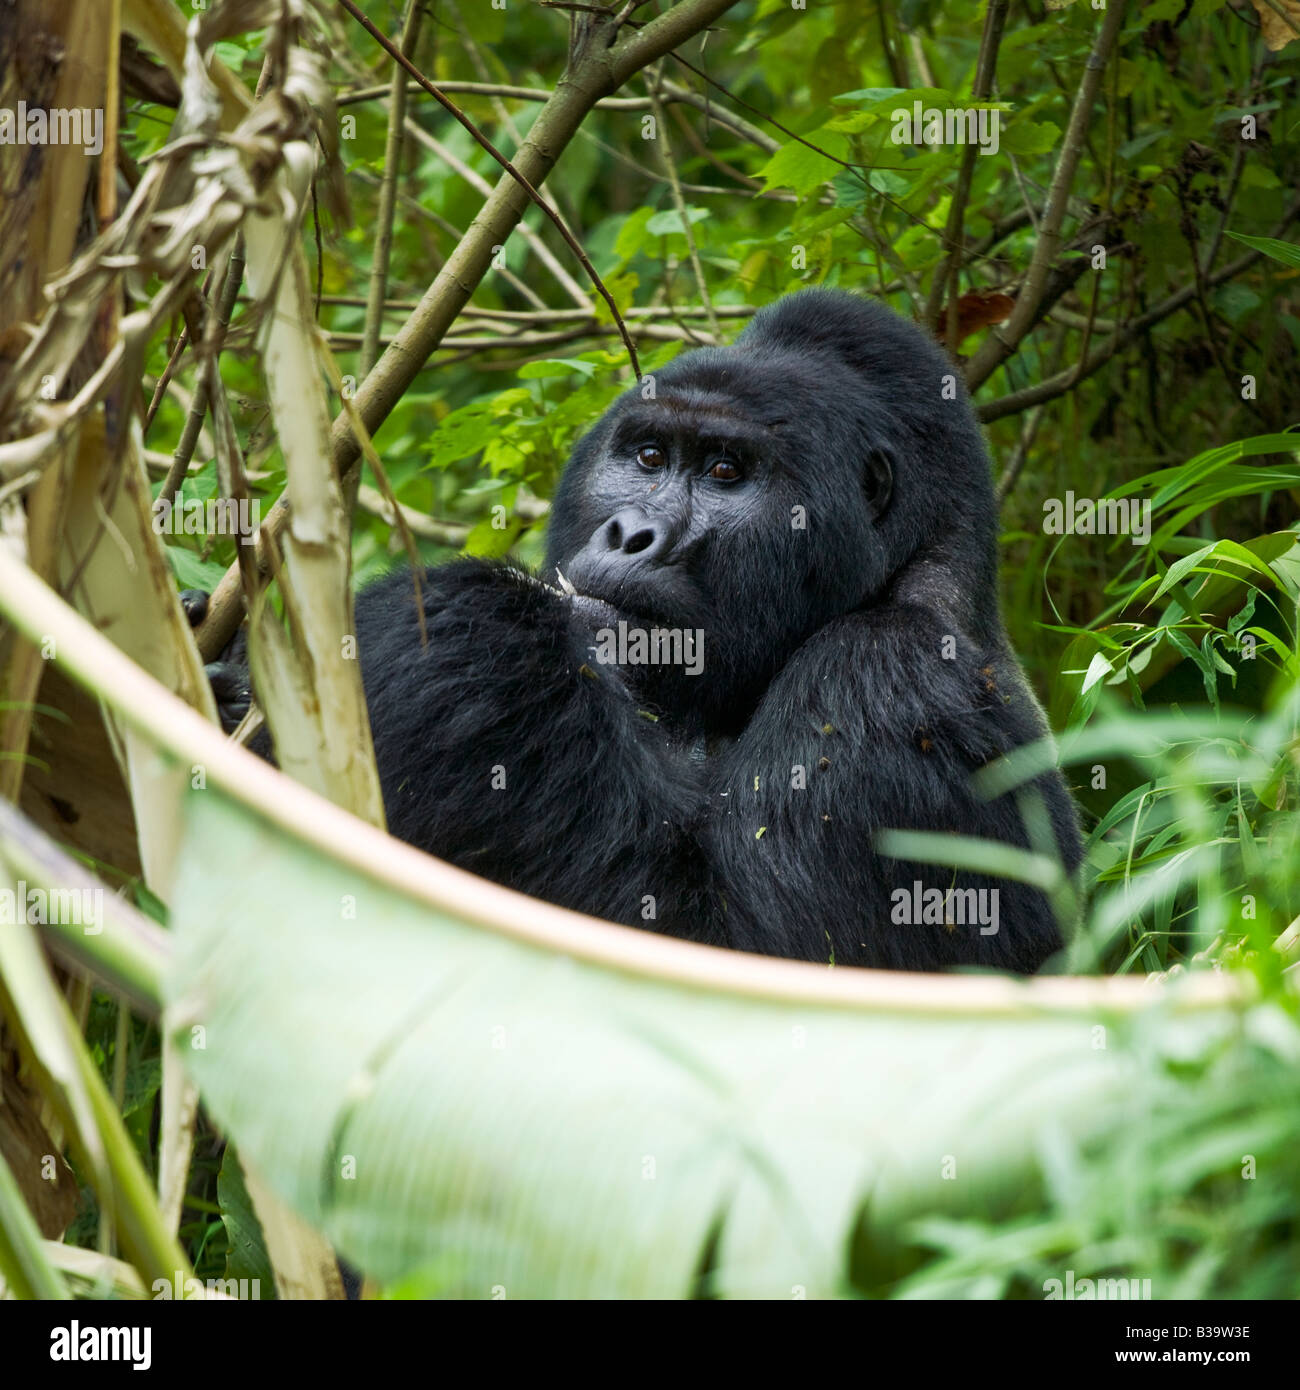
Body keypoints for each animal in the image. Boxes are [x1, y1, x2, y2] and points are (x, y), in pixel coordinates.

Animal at [198, 289, 1084, 973]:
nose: (630, 535)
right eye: (649, 456)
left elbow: (749, 954)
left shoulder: (890, 676)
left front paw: (469, 627)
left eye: (726, 472)